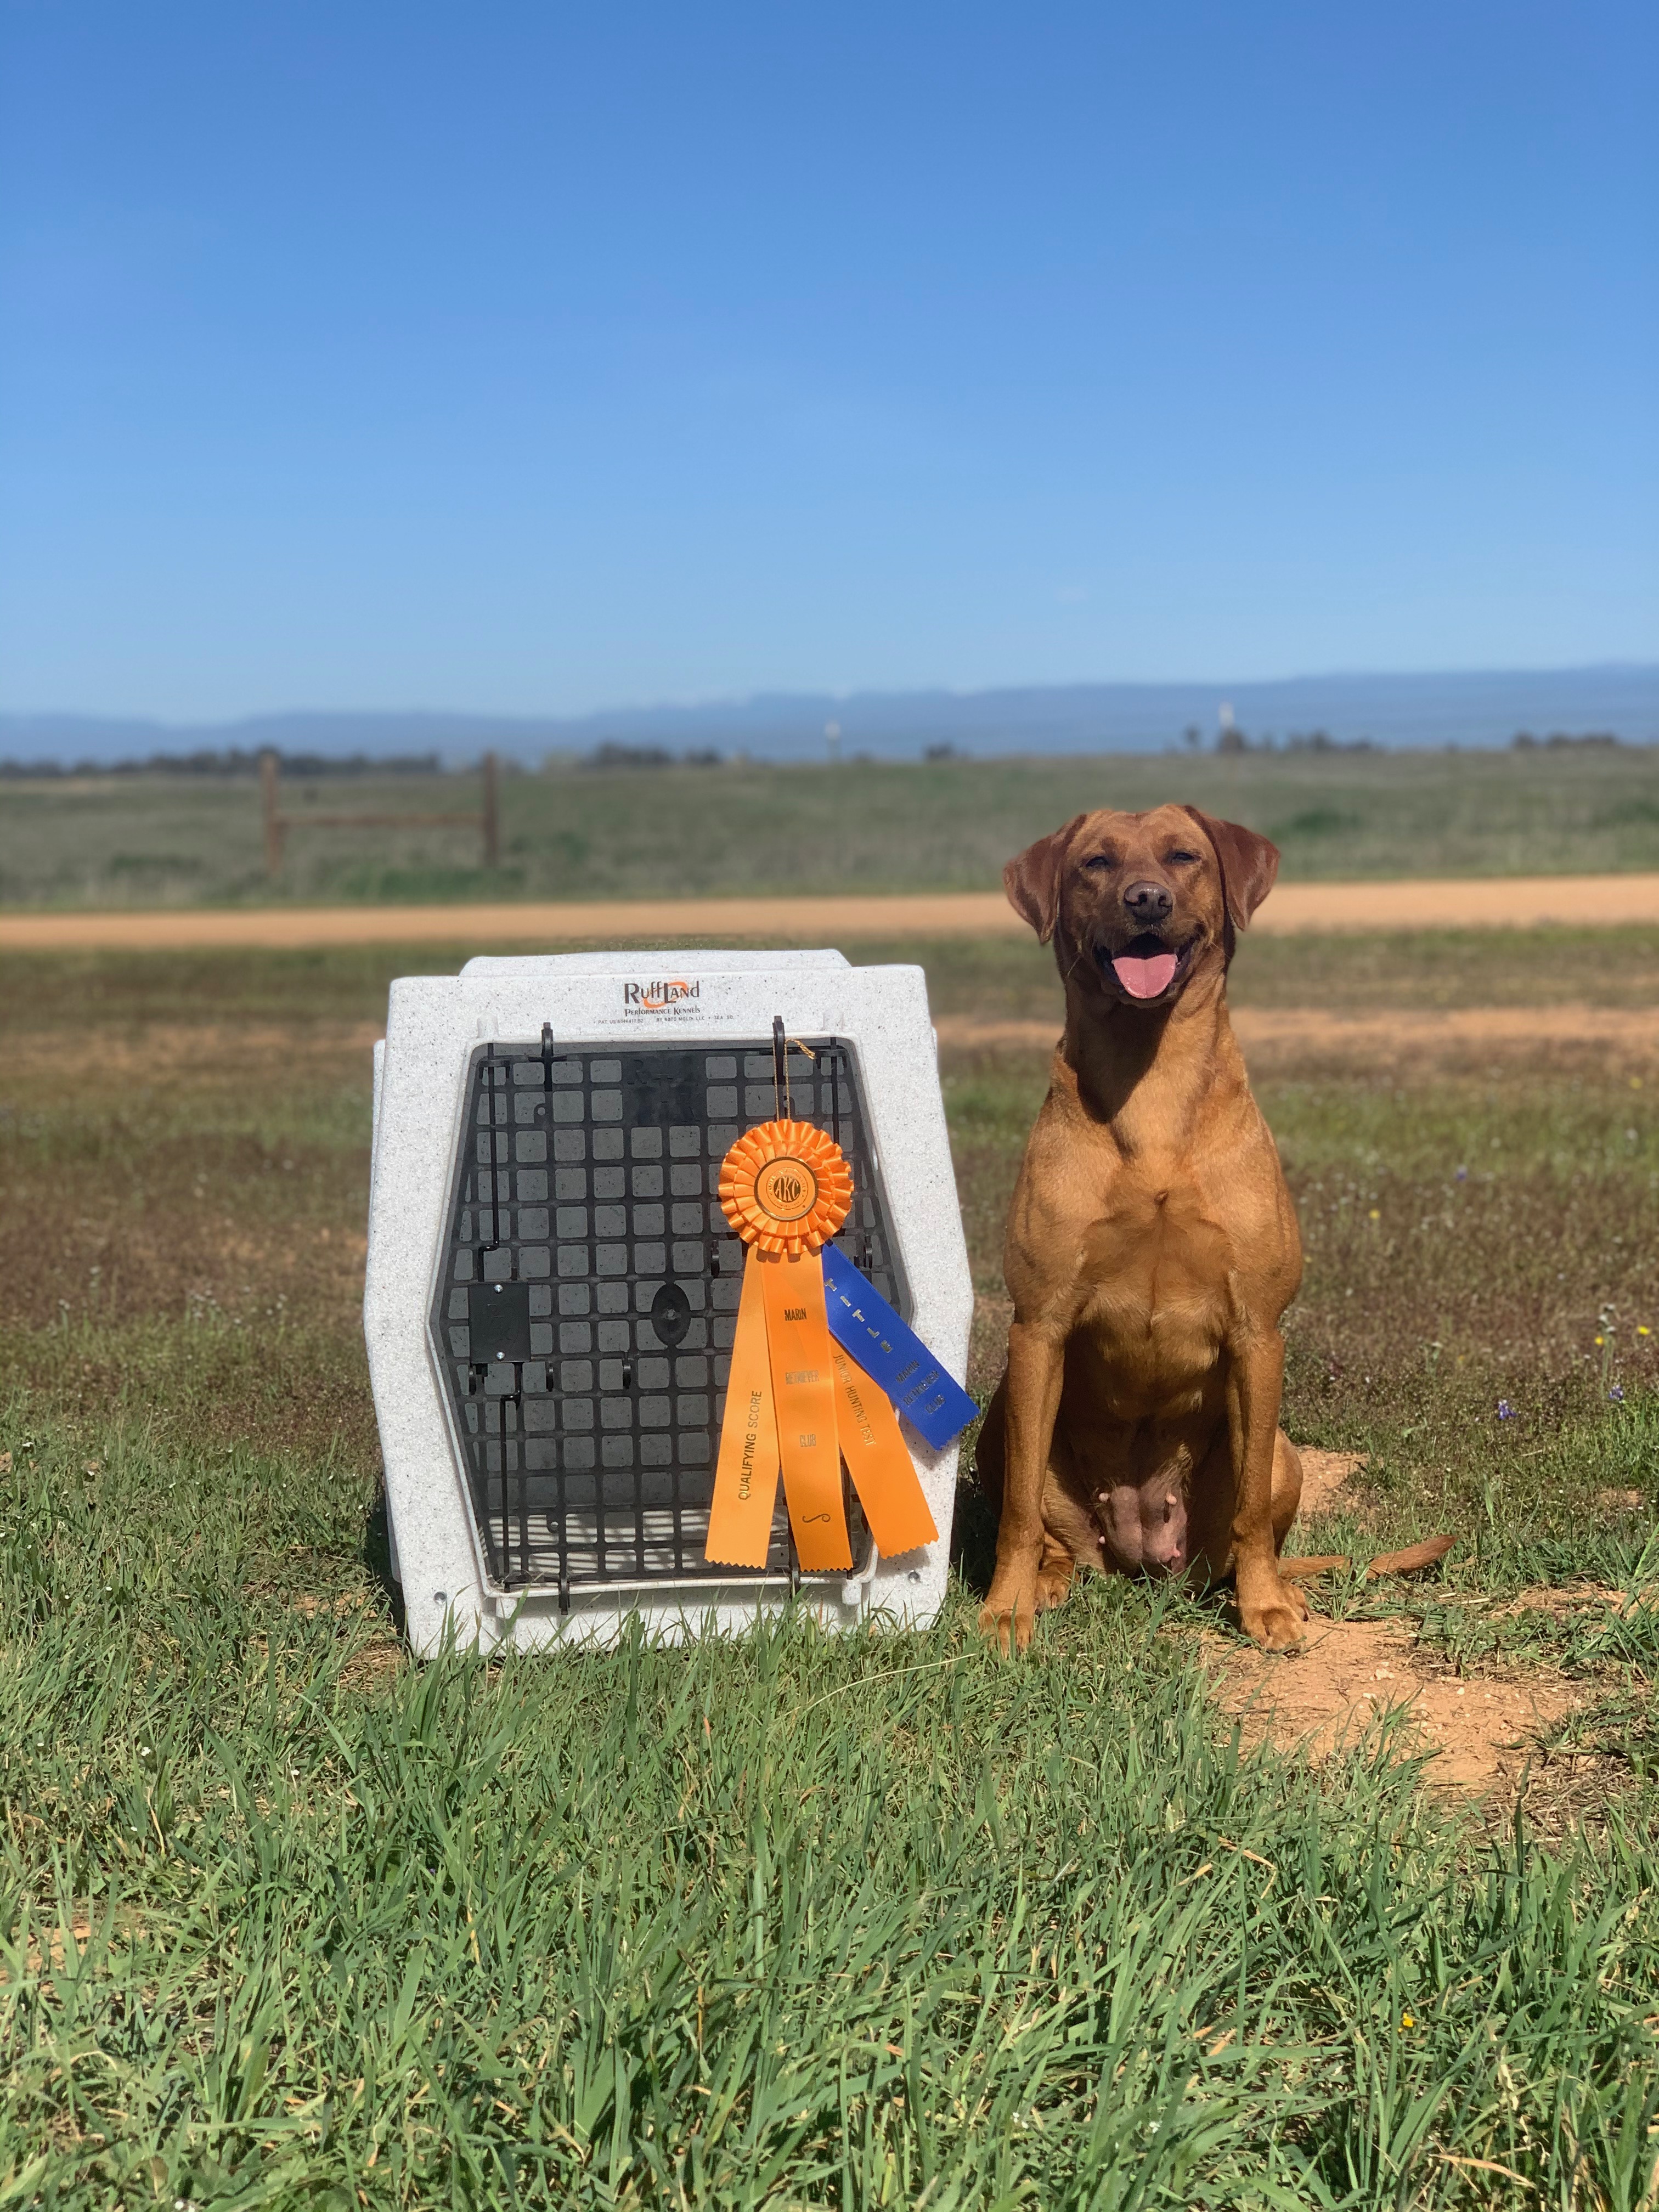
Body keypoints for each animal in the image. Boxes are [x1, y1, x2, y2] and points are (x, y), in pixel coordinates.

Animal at [973, 805, 1309, 1654]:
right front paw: (1004, 1611)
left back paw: (1270, 1586)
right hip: (1001, 1419)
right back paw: (1048, 1581)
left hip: (1283, 1454)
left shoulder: (1259, 1331)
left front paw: (1265, 1608)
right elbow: (1018, 1513)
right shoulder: (1038, 1326)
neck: (1150, 1081)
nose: (1147, 900)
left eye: (1184, 856)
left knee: (1245, 1526)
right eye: (1095, 862)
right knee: (1046, 1526)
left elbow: (1251, 1510)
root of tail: (1142, 1551)